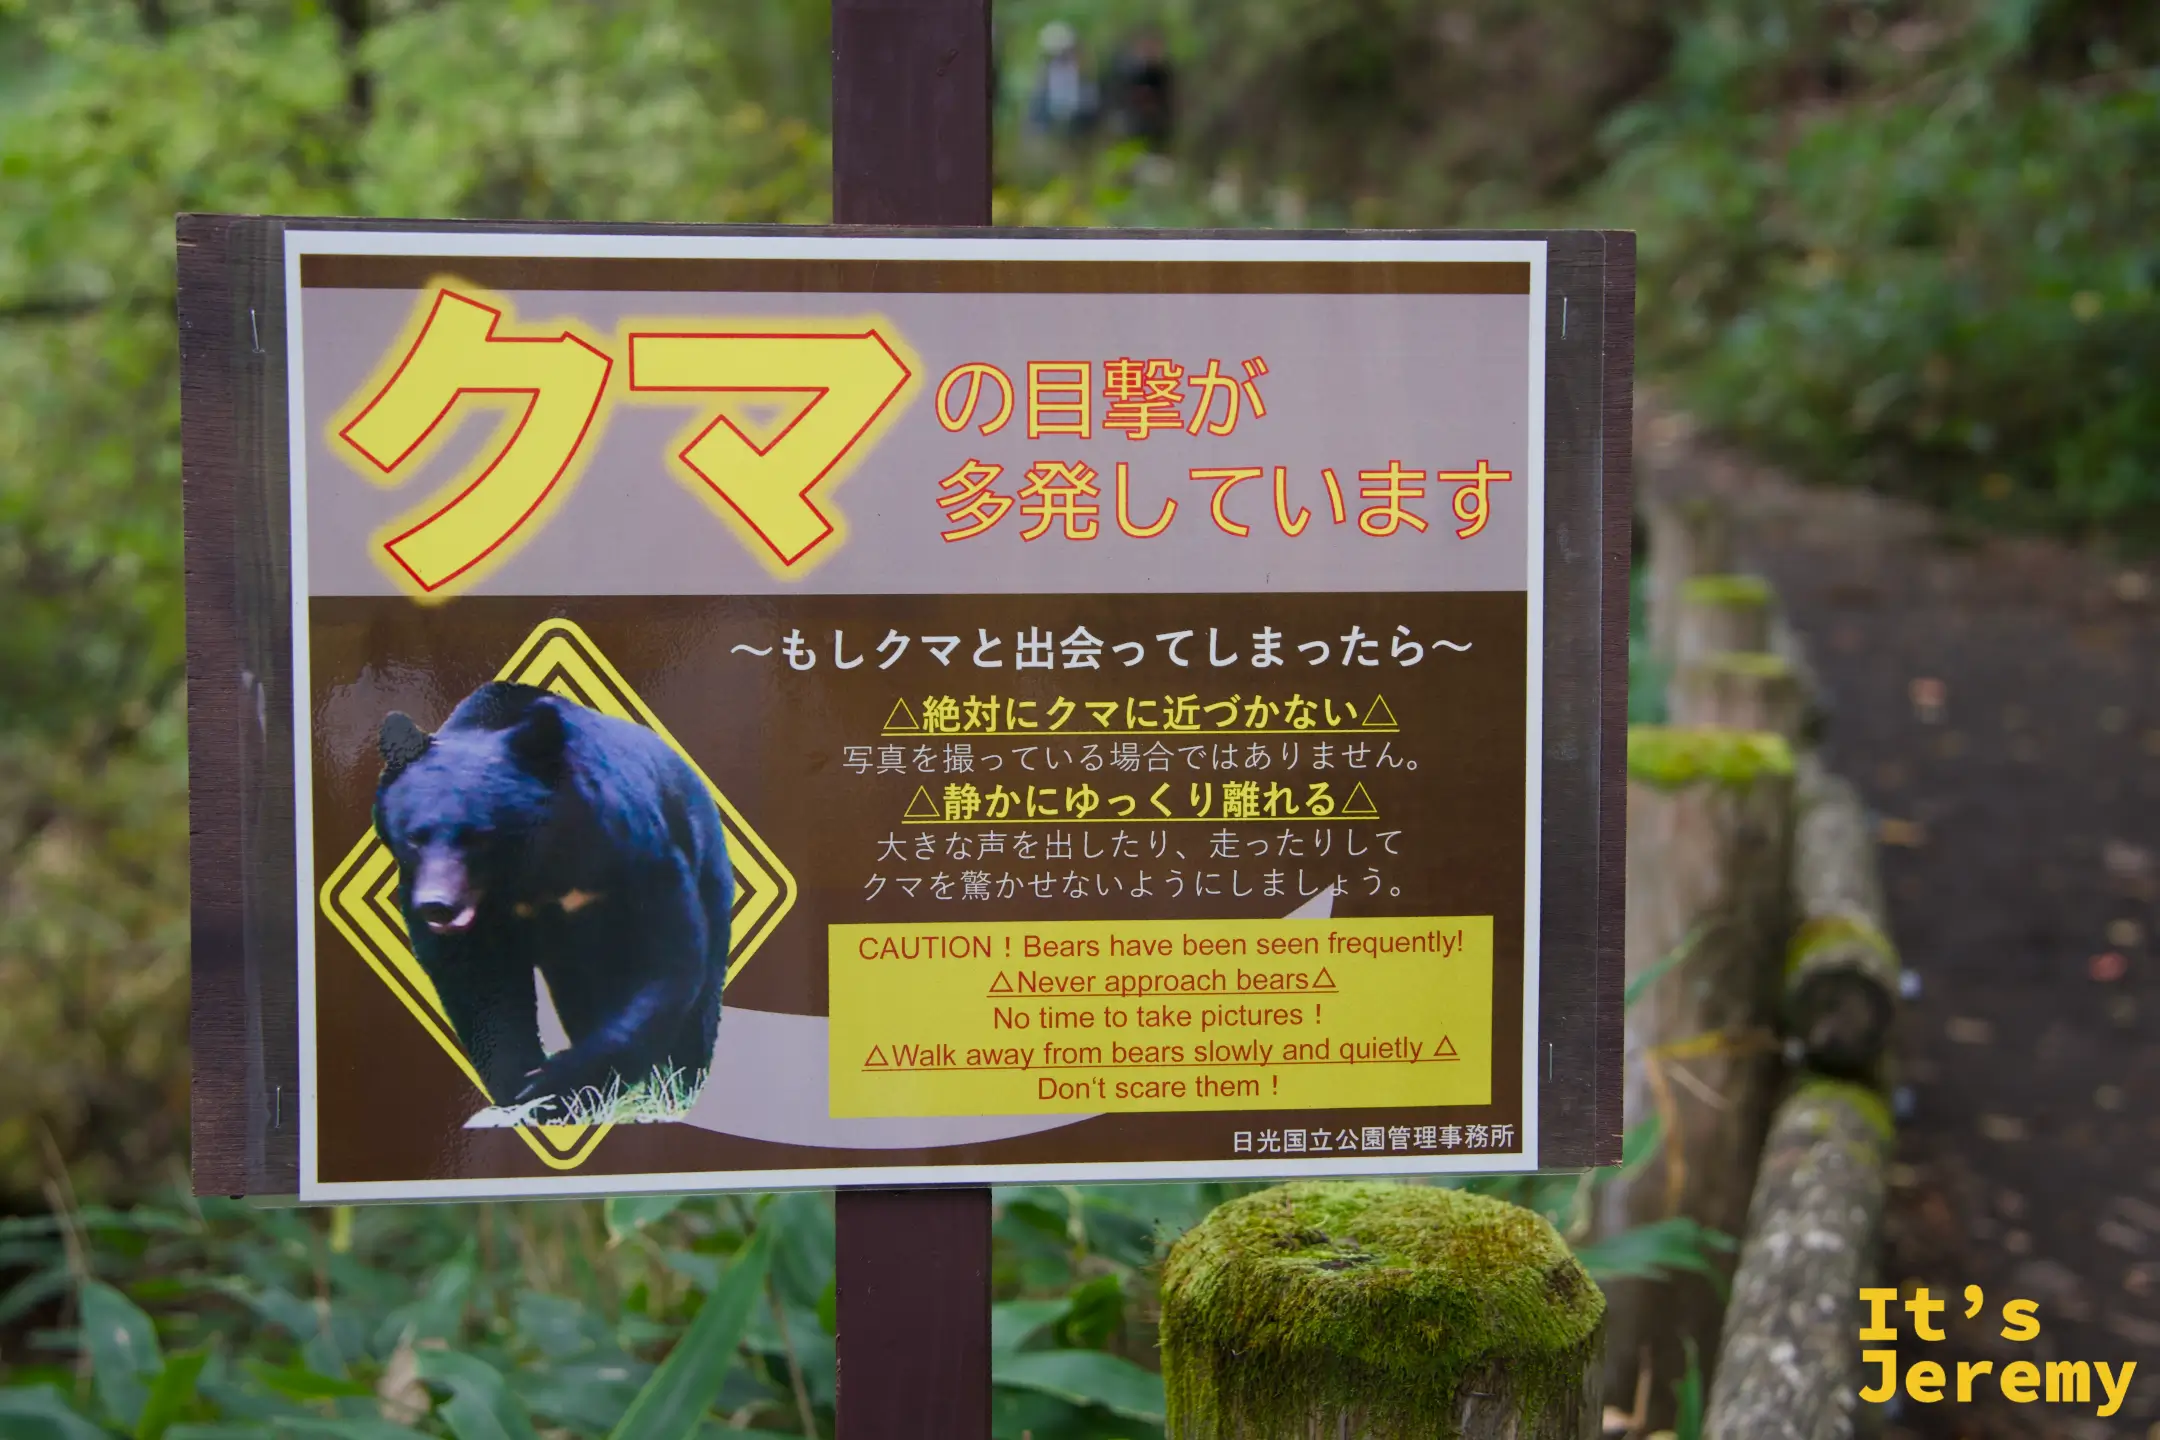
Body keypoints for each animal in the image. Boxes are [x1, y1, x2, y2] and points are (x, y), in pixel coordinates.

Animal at [372, 681, 734, 1118]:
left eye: (477, 836)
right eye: (415, 837)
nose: (437, 906)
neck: (532, 869)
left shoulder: (631, 849)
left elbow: (666, 957)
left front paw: (554, 1082)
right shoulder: (454, 903)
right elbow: (478, 986)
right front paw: (522, 1089)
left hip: (707, 867)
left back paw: (680, 1084)